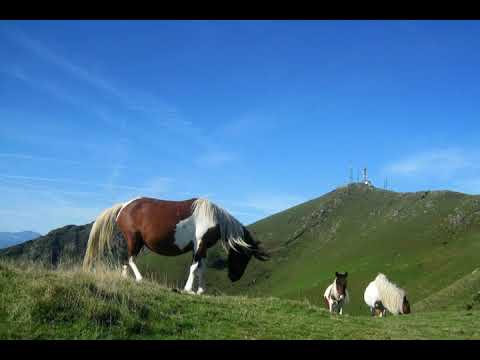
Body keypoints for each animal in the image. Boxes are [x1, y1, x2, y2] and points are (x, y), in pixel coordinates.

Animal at [83, 197, 270, 296]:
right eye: (245, 256)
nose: (233, 277)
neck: (213, 218)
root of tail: (123, 206)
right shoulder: (199, 245)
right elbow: (194, 268)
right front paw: (188, 289)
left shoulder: (201, 248)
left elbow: (201, 268)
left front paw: (200, 290)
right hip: (134, 240)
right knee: (130, 259)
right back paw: (139, 278)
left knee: (125, 260)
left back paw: (126, 279)